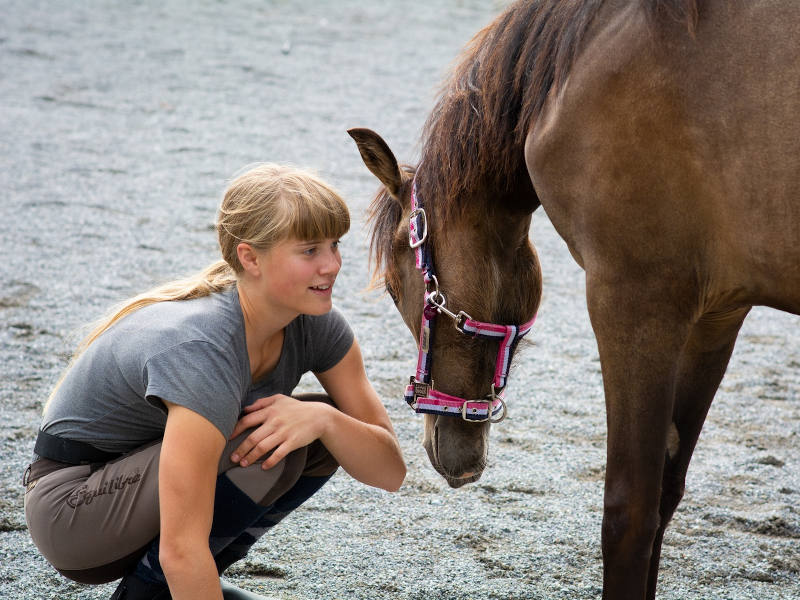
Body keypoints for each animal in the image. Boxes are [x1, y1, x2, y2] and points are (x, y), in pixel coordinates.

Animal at [349, 0, 799, 598]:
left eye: (398, 287)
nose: (450, 452)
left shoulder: (634, 299)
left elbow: (629, 510)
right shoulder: (716, 315)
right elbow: (665, 493)